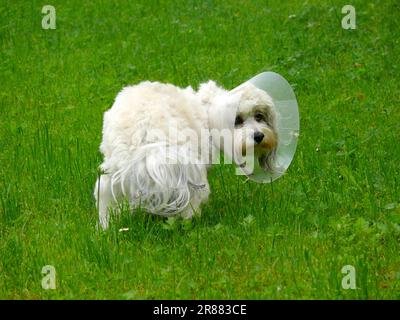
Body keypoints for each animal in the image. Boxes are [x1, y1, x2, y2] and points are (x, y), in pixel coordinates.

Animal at [95, 81, 276, 229]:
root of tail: (146, 135)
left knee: (105, 198)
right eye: (238, 120)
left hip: (114, 173)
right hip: (188, 171)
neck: (206, 110)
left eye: (259, 116)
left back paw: (106, 226)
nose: (259, 136)